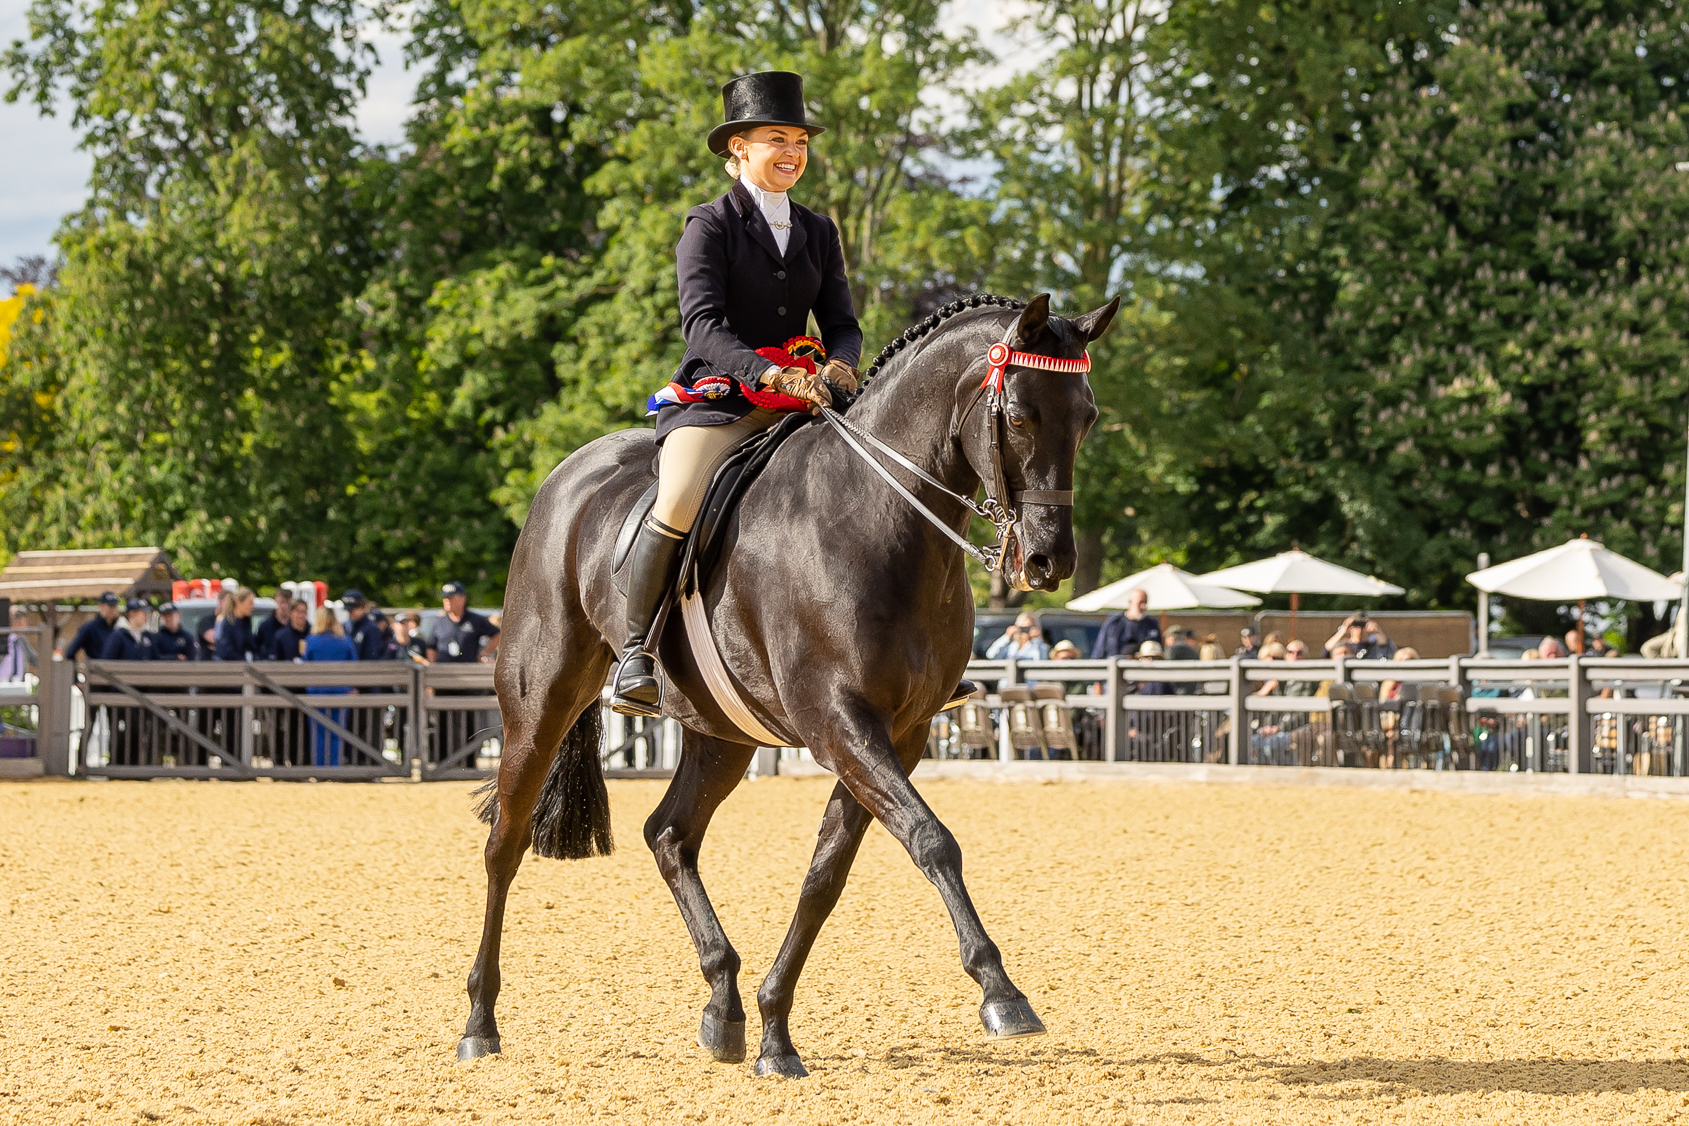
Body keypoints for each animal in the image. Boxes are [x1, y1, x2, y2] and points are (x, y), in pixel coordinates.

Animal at [460, 291, 1119, 1077]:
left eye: (1087, 416)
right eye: (1019, 415)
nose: (1049, 561)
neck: (877, 520)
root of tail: (568, 479)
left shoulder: (899, 734)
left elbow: (825, 876)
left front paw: (775, 1029)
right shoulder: (838, 722)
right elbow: (931, 840)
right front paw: (1001, 992)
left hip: (721, 732)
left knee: (669, 835)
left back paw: (722, 1007)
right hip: (540, 699)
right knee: (506, 841)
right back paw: (480, 1020)